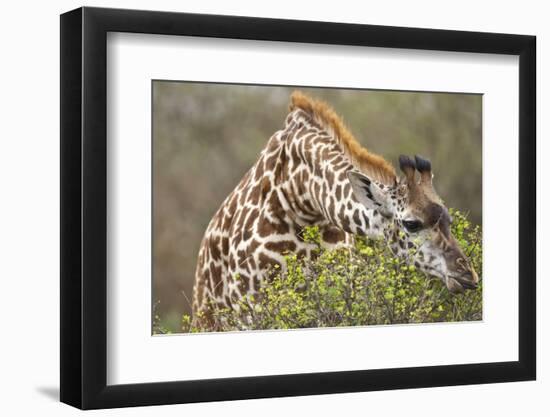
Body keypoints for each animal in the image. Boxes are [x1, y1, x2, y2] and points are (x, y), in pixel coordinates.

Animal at [192, 90, 480, 328]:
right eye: (411, 223)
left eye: (449, 220)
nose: (467, 274)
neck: (301, 199)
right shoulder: (252, 307)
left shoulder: (337, 301)